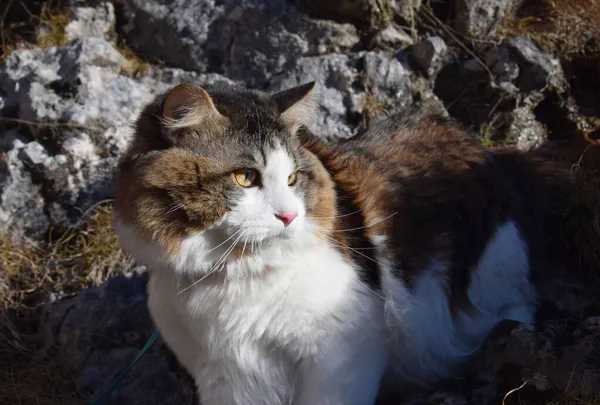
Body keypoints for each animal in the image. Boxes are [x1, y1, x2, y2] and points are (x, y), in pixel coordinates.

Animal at [113, 80, 572, 402]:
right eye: (245, 177)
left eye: (293, 179)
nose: (290, 216)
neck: (234, 278)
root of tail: (469, 138)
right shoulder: (230, 375)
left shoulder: (342, 349)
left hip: (489, 272)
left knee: (518, 305)